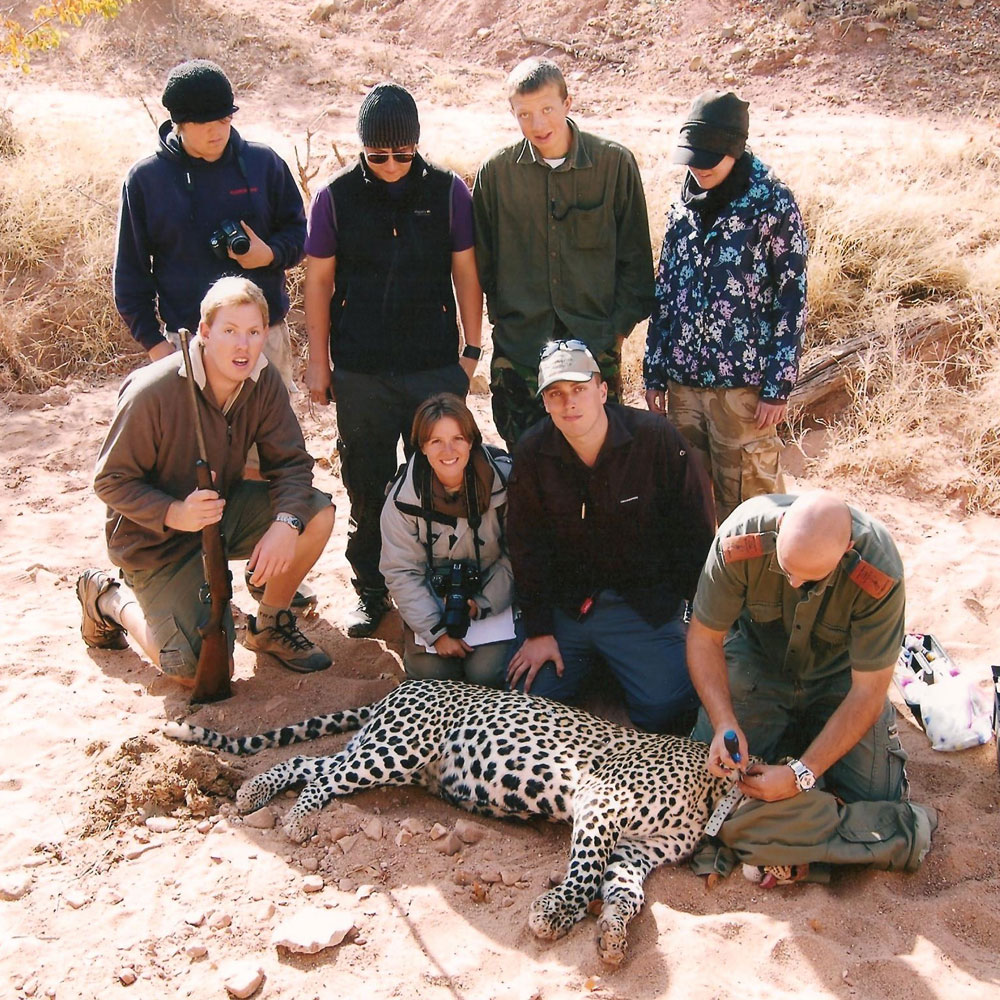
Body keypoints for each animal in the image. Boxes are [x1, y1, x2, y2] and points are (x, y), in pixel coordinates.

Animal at [166, 676, 736, 964]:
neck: (713, 796)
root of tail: (404, 686)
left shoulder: (637, 852)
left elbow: (625, 892)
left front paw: (614, 934)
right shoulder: (602, 801)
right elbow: (584, 873)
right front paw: (555, 915)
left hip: (388, 756)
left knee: (310, 762)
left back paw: (253, 793)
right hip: (398, 748)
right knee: (323, 776)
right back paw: (298, 819)